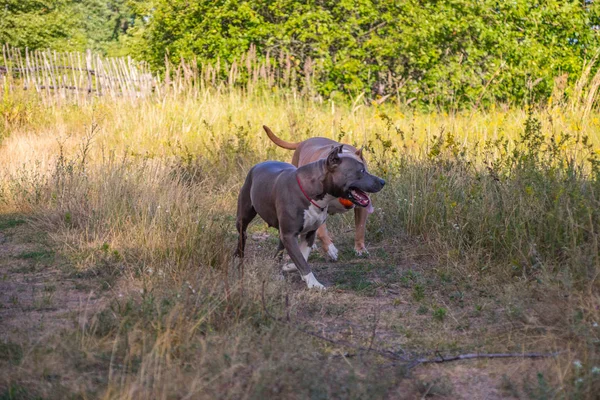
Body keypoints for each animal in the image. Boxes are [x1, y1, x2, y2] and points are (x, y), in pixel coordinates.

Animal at [234, 145, 384, 290]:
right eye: (361, 171)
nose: (383, 181)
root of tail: (259, 164)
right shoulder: (289, 235)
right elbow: (302, 262)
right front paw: (314, 284)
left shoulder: (308, 233)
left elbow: (302, 257)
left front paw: (290, 267)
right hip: (244, 217)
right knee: (243, 234)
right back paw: (238, 257)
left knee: (279, 248)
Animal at [264, 125, 376, 260]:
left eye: (364, 170)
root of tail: (303, 142)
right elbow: (321, 232)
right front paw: (330, 249)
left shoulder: (361, 207)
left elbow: (360, 228)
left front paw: (360, 249)